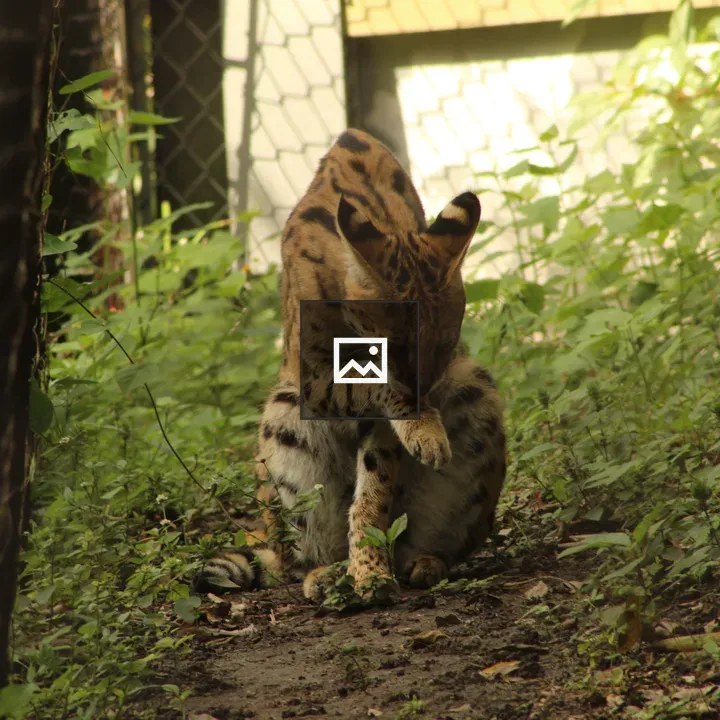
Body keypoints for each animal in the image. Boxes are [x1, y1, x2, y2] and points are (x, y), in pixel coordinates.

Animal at [193, 129, 506, 601]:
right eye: (393, 350)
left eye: (445, 347)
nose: (424, 393)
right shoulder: (312, 379)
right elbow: (375, 389)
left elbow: (375, 487)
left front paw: (369, 570)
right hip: (283, 411)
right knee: (292, 558)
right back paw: (326, 572)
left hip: (474, 385)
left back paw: (419, 561)